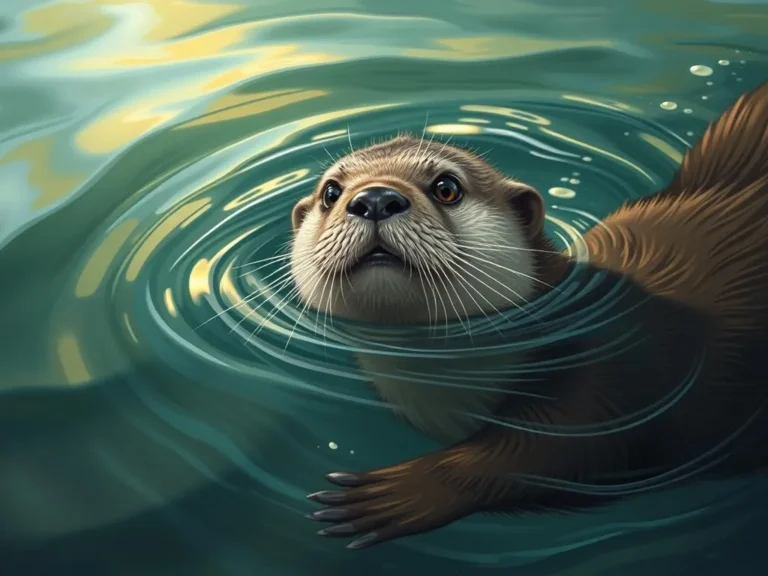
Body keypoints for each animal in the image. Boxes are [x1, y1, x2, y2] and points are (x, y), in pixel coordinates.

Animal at [290, 81, 768, 550]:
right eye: (331, 192)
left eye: (447, 187)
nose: (375, 198)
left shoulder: (632, 377)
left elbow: (563, 453)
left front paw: (402, 491)